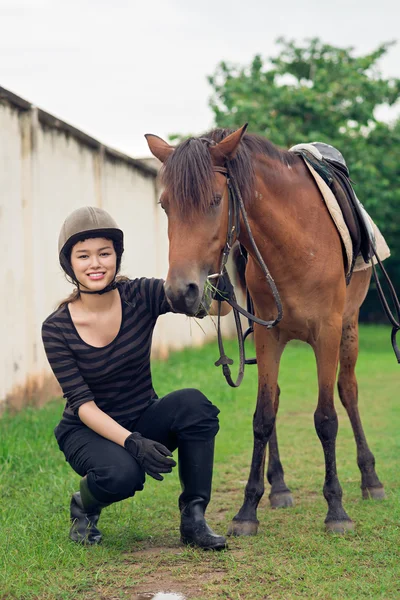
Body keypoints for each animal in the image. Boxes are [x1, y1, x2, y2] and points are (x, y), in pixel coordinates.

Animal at [146, 125, 384, 536]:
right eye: (165, 205)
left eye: (215, 200)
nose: (180, 292)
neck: (296, 240)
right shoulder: (266, 334)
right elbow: (263, 416)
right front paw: (248, 509)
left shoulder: (327, 332)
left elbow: (326, 419)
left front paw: (336, 509)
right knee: (277, 399)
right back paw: (280, 487)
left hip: (349, 327)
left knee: (348, 392)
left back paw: (370, 478)